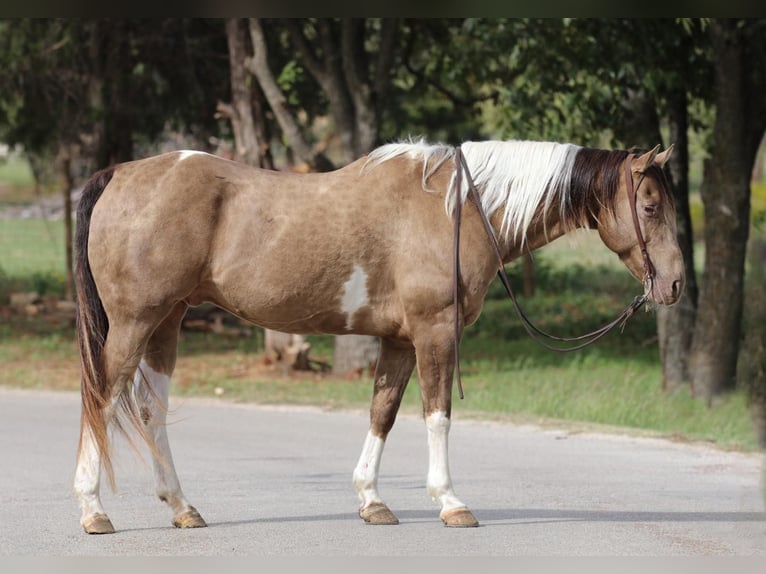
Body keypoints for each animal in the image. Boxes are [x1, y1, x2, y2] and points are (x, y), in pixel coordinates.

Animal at [72, 140, 684, 536]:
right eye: (650, 206)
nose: (675, 283)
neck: (459, 207)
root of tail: (119, 174)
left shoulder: (399, 340)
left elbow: (382, 412)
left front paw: (372, 500)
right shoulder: (435, 331)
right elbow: (437, 414)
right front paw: (450, 502)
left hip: (167, 322)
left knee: (148, 408)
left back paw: (182, 507)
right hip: (135, 322)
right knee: (102, 399)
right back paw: (93, 511)